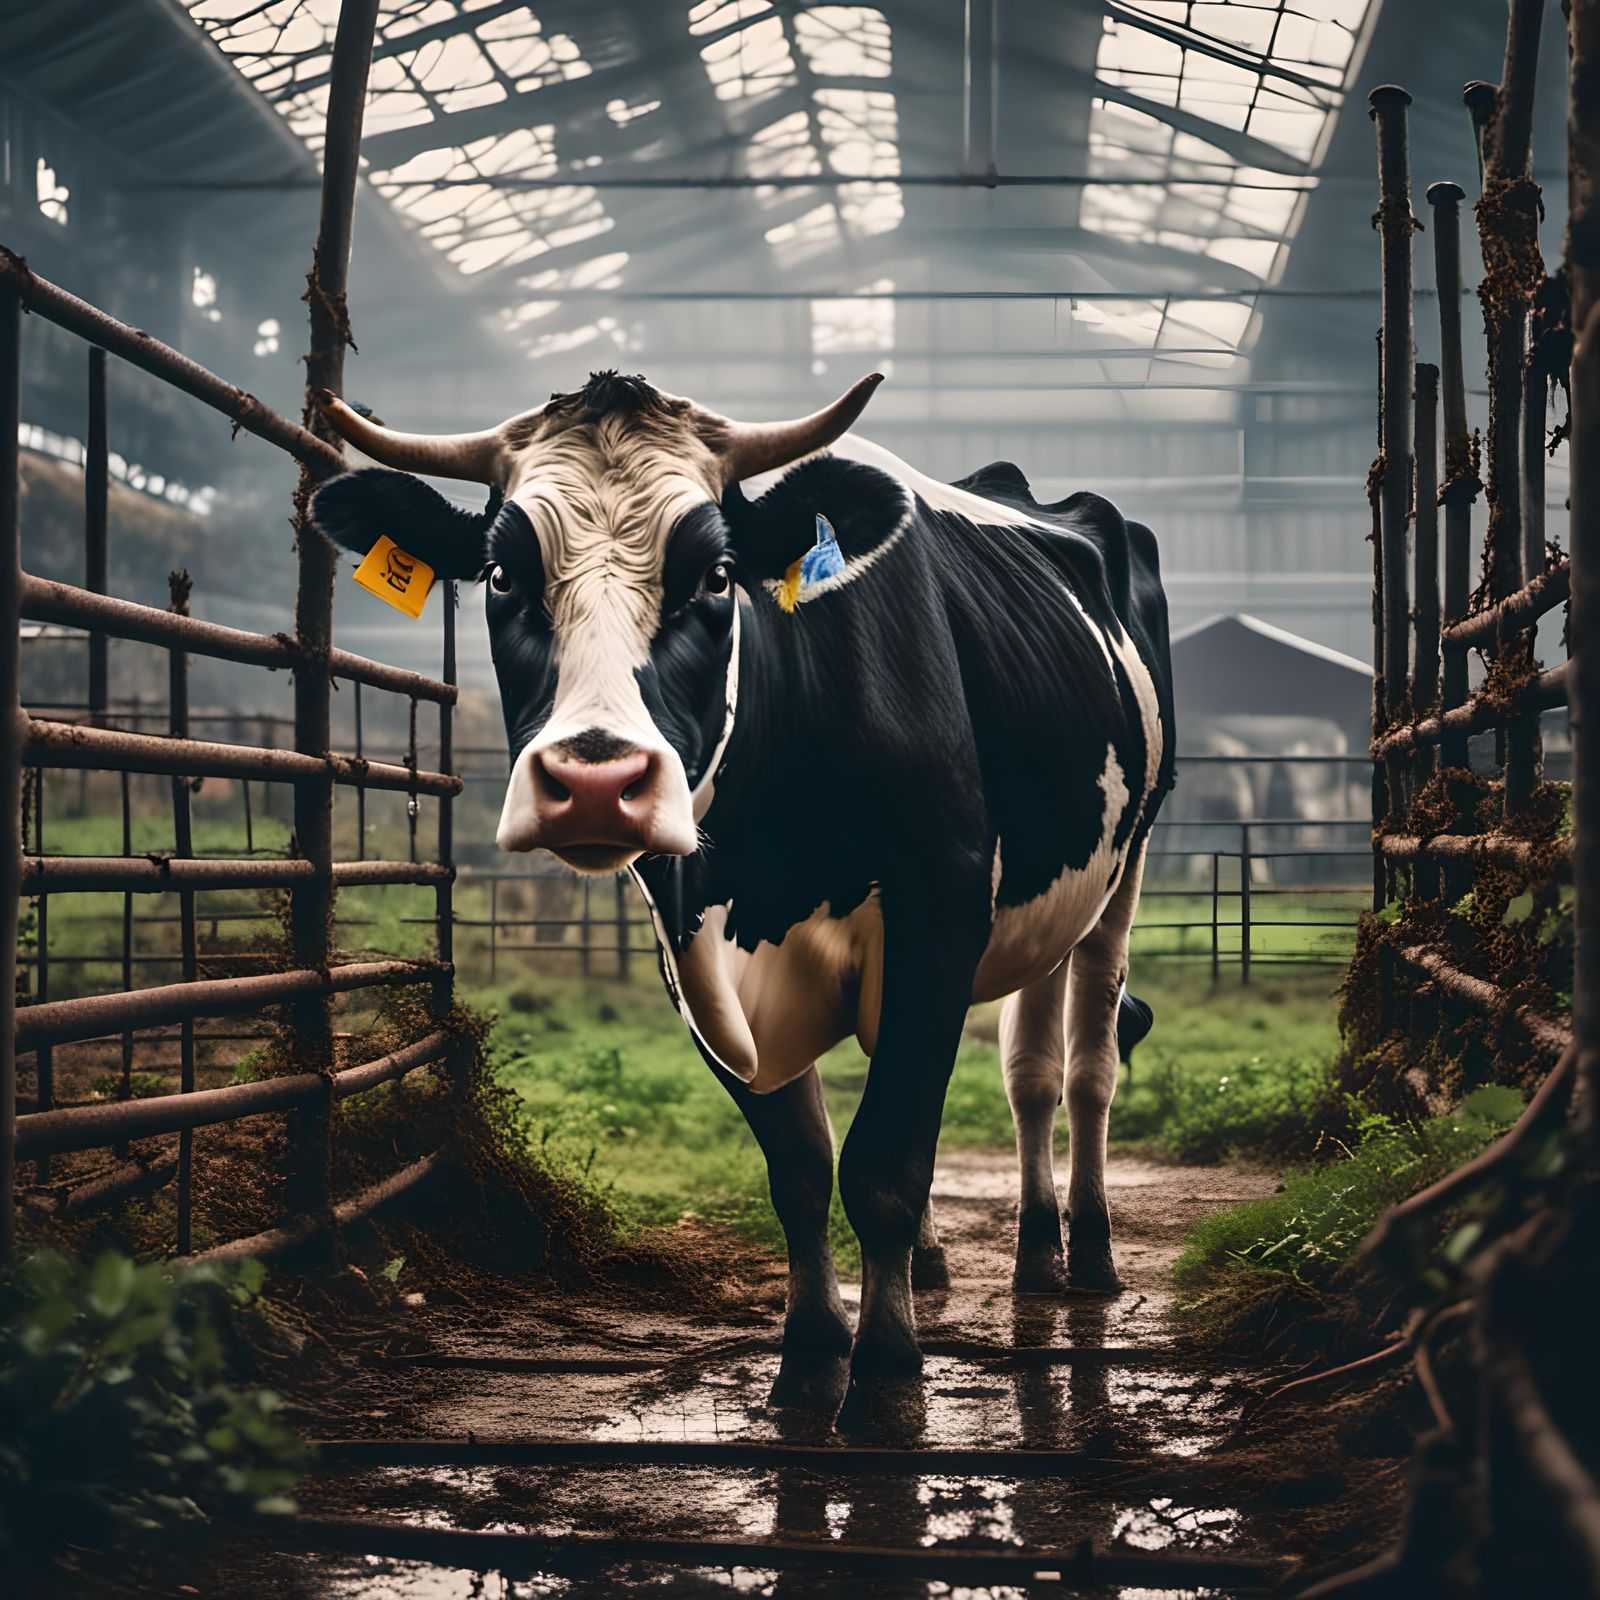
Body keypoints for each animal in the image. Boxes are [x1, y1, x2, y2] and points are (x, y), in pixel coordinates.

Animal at [311, 370, 1174, 1421]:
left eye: (719, 575)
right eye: (504, 575)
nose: (595, 780)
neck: (766, 859)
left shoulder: (939, 914)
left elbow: (884, 1163)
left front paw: (886, 1376)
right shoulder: (692, 950)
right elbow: (800, 1167)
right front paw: (810, 1357)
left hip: (1123, 869)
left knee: (1082, 1066)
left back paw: (1082, 1255)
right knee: (1029, 1072)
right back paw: (1018, 1254)